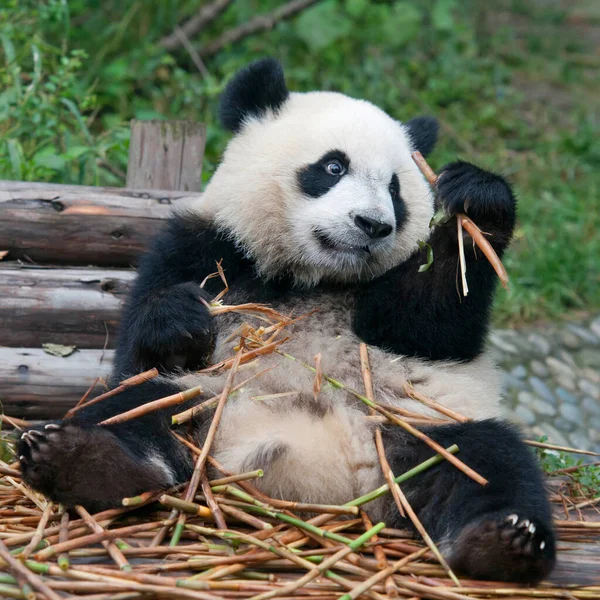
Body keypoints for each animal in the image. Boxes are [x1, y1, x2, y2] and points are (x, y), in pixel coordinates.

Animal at [18, 58, 556, 584]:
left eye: (395, 188)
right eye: (333, 166)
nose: (373, 225)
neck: (314, 276)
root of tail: (331, 483)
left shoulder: (395, 305)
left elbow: (431, 326)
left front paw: (477, 203)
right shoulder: (202, 246)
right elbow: (136, 356)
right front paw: (182, 319)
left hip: (413, 427)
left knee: (487, 459)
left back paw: (502, 543)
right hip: (208, 407)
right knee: (138, 408)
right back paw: (78, 461)